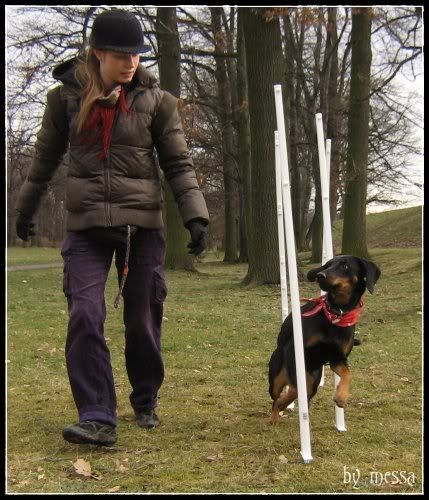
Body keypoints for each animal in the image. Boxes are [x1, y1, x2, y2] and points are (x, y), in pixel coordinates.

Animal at [268, 255, 381, 424]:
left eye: (345, 266)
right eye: (327, 265)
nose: (320, 276)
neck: (337, 315)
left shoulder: (337, 358)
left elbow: (347, 374)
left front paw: (341, 397)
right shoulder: (294, 350)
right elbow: (297, 388)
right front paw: (287, 401)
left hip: (315, 374)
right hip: (276, 376)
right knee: (276, 398)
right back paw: (275, 416)